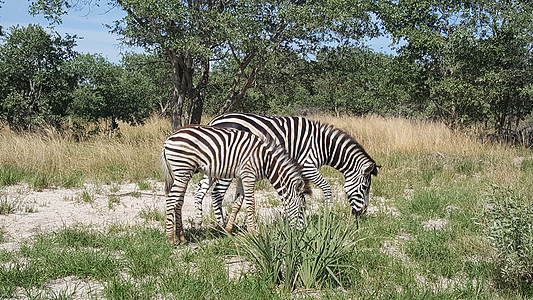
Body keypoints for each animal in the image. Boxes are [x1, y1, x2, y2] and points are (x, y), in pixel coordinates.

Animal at [160, 124, 310, 244]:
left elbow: (238, 203)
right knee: (171, 200)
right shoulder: (249, 175)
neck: (266, 161)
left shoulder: (242, 177)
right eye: (302, 209)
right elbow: (251, 203)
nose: (302, 233)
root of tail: (168, 139)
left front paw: (228, 229)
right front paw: (255, 233)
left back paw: (181, 236)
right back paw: (170, 238)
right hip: (183, 170)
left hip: (183, 173)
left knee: (178, 201)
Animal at [191, 113, 378, 226]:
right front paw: (327, 214)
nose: (361, 213)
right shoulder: (307, 166)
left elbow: (295, 193)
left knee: (199, 190)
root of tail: (214, 121)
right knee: (216, 193)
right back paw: (222, 227)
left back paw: (200, 221)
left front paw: (289, 216)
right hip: (226, 165)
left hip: (214, 165)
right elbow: (326, 188)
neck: (323, 145)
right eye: (364, 187)